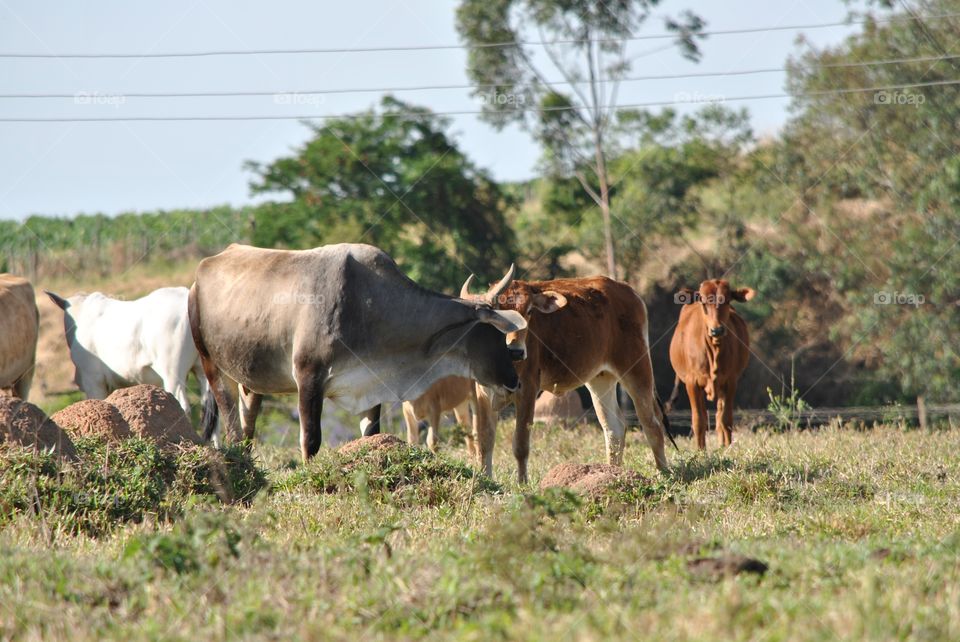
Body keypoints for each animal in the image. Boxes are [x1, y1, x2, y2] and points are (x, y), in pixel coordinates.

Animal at [464, 274, 672, 480]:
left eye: (529, 311)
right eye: (498, 311)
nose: (515, 351)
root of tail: (626, 289)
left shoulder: (528, 390)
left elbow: (520, 445)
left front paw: (522, 483)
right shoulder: (483, 393)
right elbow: (485, 441)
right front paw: (485, 480)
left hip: (636, 369)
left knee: (651, 424)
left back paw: (664, 474)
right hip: (600, 379)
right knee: (615, 429)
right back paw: (612, 473)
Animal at [664, 278, 752, 448]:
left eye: (727, 301)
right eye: (704, 303)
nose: (716, 330)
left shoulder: (730, 382)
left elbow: (726, 419)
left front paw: (728, 448)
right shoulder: (692, 383)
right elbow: (698, 420)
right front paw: (700, 450)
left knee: (718, 416)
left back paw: (722, 445)